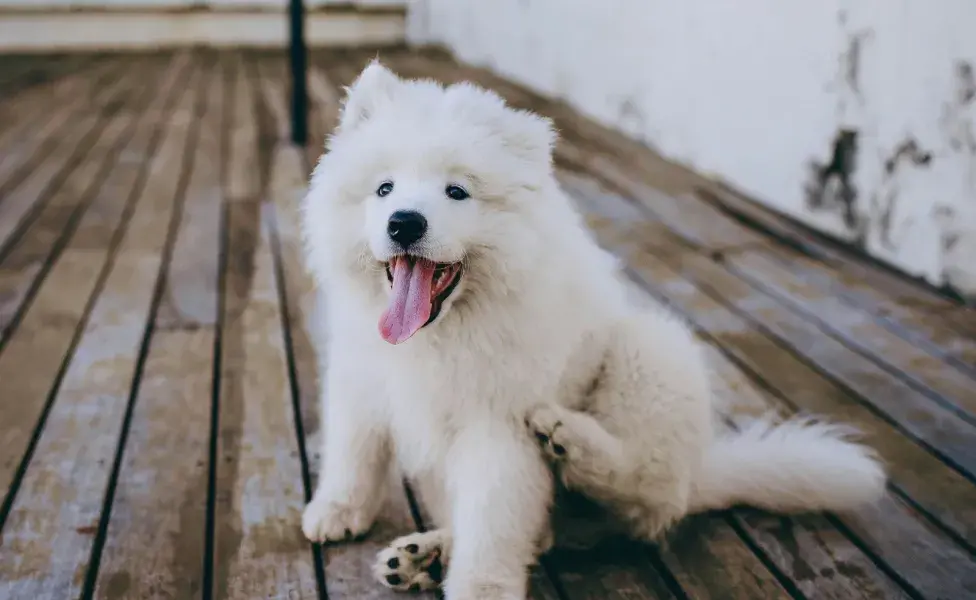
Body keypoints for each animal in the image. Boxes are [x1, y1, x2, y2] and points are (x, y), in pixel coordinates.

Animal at [298, 62, 884, 600]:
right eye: (384, 188)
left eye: (457, 192)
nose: (404, 223)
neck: (443, 331)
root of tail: (699, 474)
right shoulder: (361, 381)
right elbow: (353, 454)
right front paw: (336, 511)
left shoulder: (498, 427)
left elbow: (492, 526)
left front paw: (482, 588)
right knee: (547, 534)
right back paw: (425, 555)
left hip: (651, 351)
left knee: (642, 488)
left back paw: (568, 438)